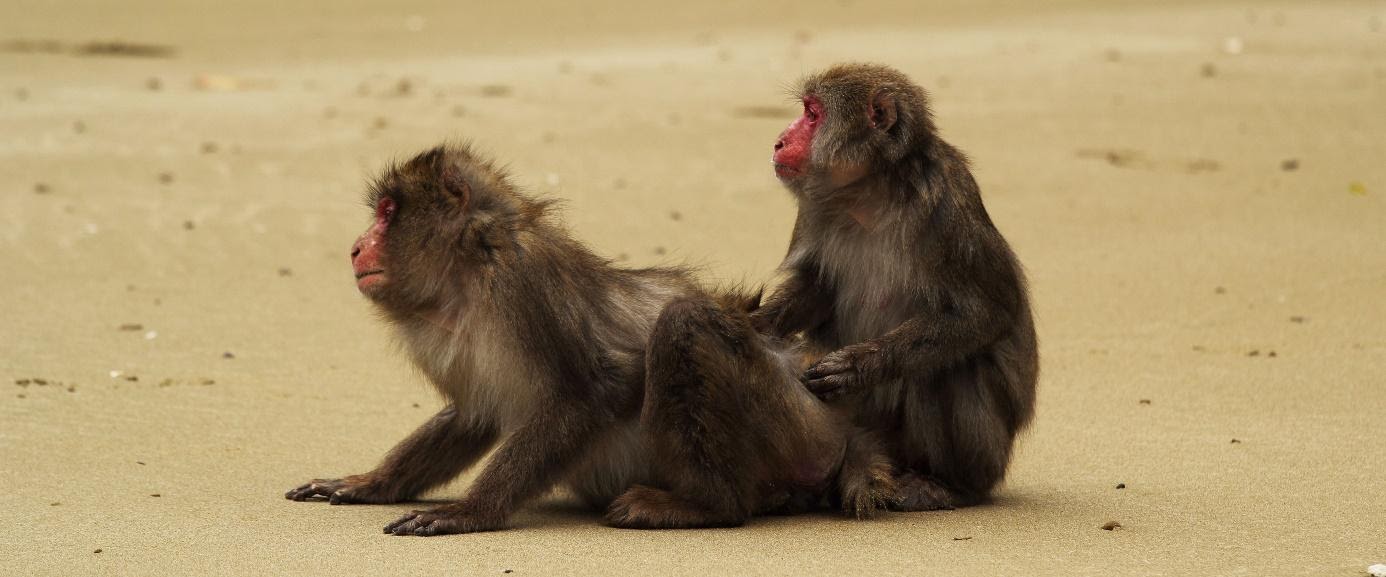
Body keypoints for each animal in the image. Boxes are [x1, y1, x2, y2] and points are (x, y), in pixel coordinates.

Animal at [285, 142, 892, 535]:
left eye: (388, 213)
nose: (356, 246)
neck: (470, 273)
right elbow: (472, 416)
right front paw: (370, 482)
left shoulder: (526, 281)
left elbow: (591, 394)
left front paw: (472, 512)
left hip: (798, 430)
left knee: (684, 323)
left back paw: (712, 506)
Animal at [753, 64, 1042, 510]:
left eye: (813, 114)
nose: (779, 141)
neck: (870, 192)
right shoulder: (815, 209)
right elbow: (817, 290)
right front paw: (756, 322)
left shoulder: (946, 205)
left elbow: (987, 311)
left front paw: (860, 365)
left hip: (991, 456)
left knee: (949, 367)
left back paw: (948, 484)